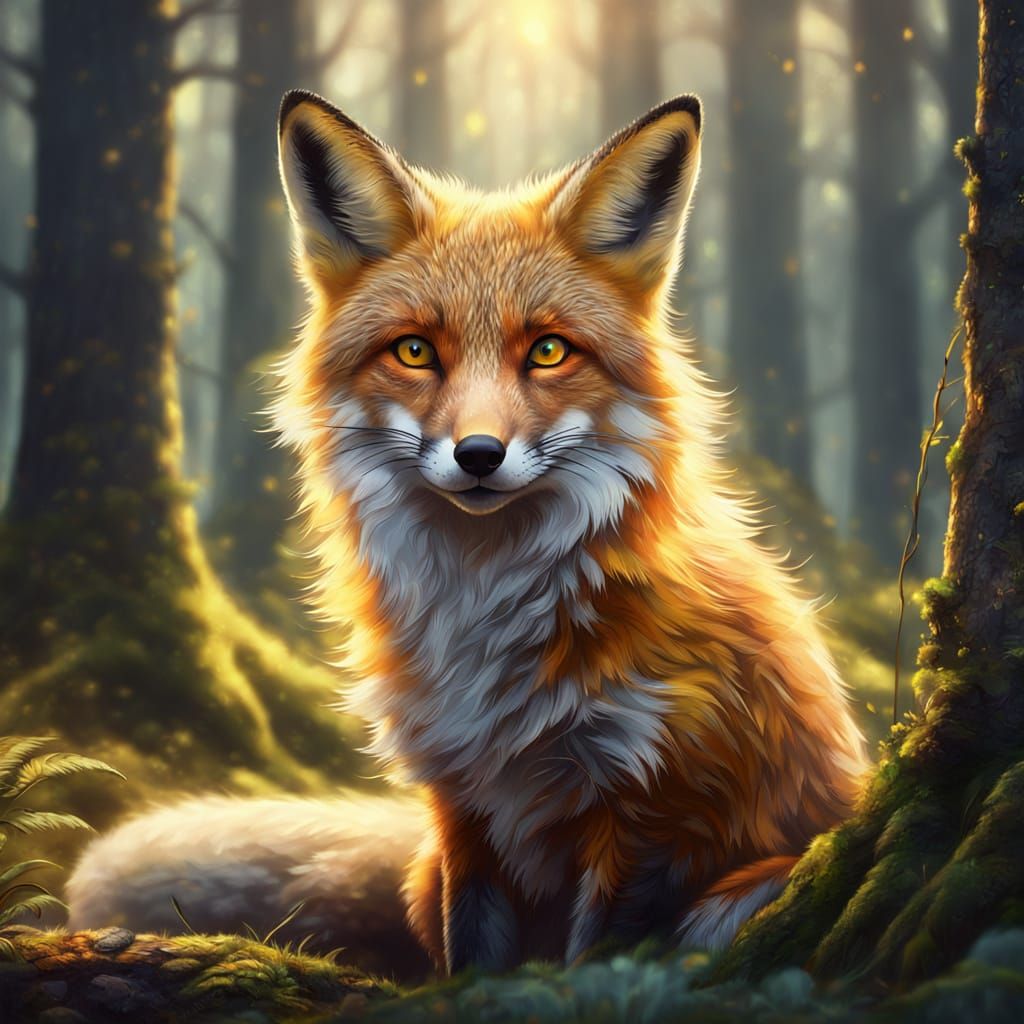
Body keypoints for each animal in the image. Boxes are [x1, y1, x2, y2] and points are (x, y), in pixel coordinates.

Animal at [68, 90, 866, 975]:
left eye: (548, 350)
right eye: (416, 350)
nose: (479, 454)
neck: (486, 618)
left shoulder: (655, 807)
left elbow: (591, 959)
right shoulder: (463, 799)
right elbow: (471, 949)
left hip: (741, 896)